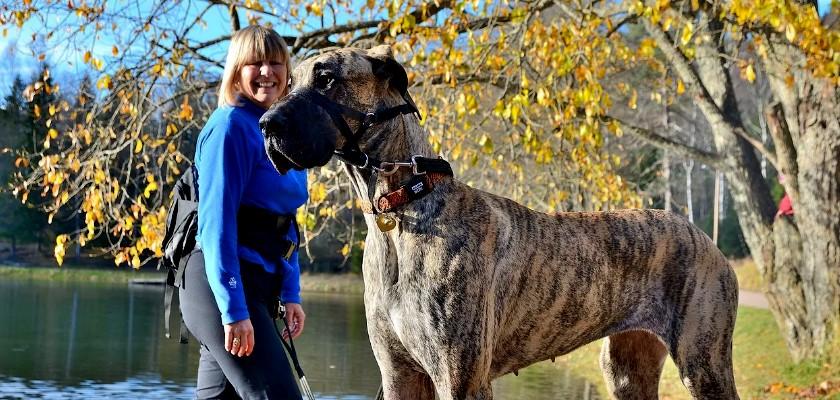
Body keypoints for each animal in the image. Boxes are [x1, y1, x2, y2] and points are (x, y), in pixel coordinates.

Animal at [260, 45, 740, 398]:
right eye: (289, 82)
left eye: (327, 78)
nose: (266, 124)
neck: (402, 208)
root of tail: (706, 238)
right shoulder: (399, 374)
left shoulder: (461, 379)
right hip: (626, 368)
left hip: (704, 363)